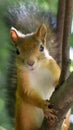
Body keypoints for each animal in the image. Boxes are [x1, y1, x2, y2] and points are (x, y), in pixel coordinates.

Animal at [4, 1, 70, 130]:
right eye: (17, 51)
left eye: (41, 47)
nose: (30, 63)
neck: (37, 70)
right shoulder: (23, 81)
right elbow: (27, 94)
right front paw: (44, 106)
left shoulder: (54, 68)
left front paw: (58, 83)